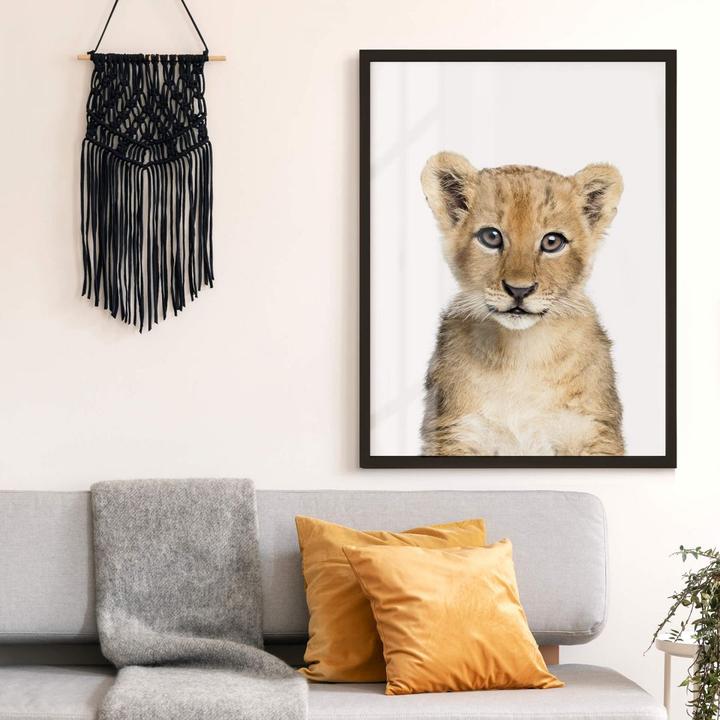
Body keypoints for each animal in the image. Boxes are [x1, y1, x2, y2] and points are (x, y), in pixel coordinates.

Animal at [420, 152, 624, 456]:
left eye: (552, 242)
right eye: (491, 237)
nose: (519, 290)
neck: (521, 354)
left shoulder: (592, 431)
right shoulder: (456, 431)